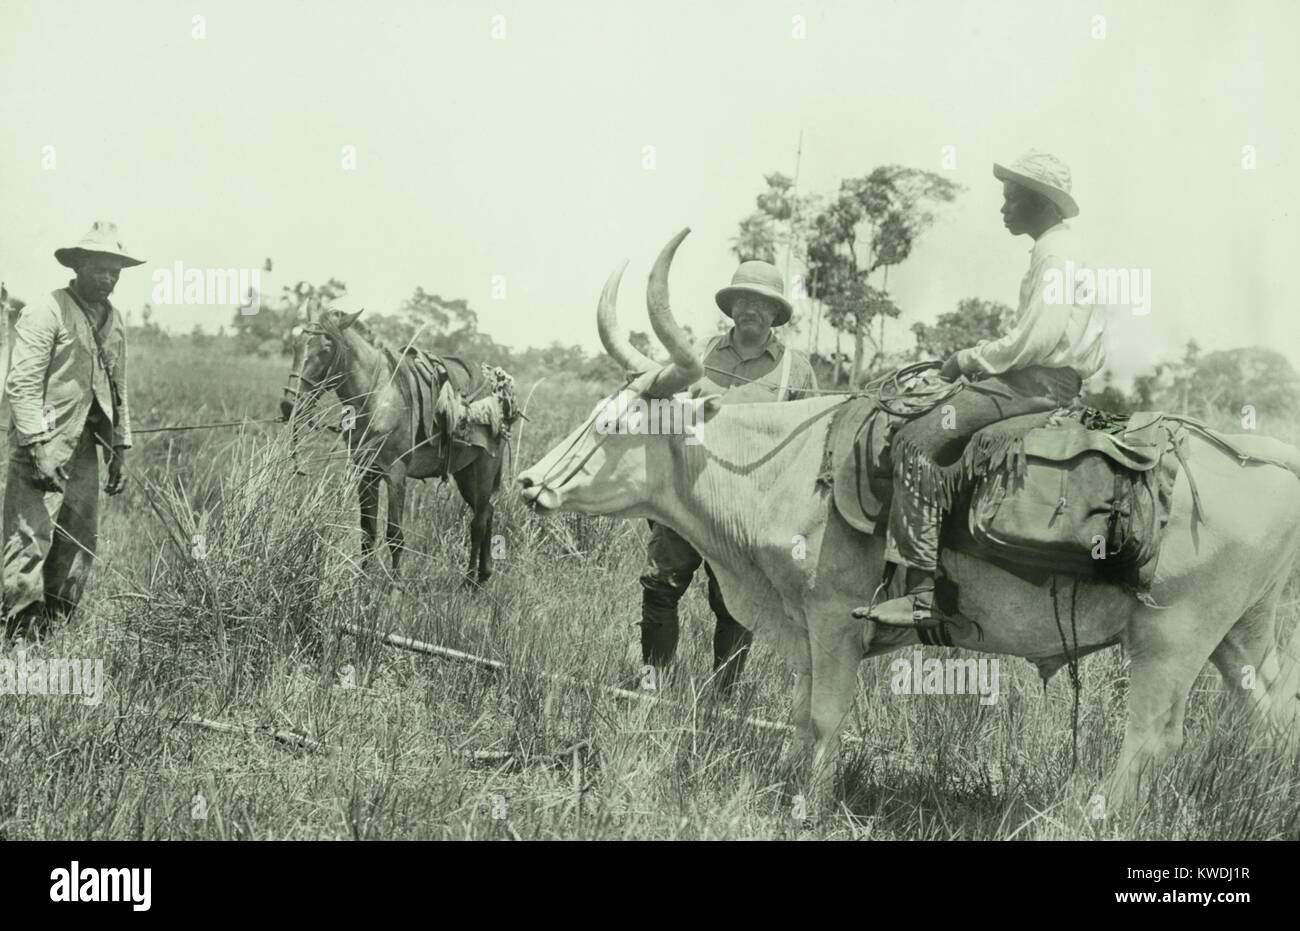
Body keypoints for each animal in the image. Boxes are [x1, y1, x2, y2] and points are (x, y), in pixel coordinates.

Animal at [278, 305, 512, 582]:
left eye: (325, 349)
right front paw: (362, 584)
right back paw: (483, 574)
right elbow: (368, 532)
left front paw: (394, 587)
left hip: (485, 467)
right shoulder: (366, 473)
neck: (378, 399)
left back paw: (470, 581)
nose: (289, 405)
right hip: (465, 472)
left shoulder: (396, 474)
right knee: (487, 512)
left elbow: (395, 535)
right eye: (295, 345)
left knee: (478, 521)